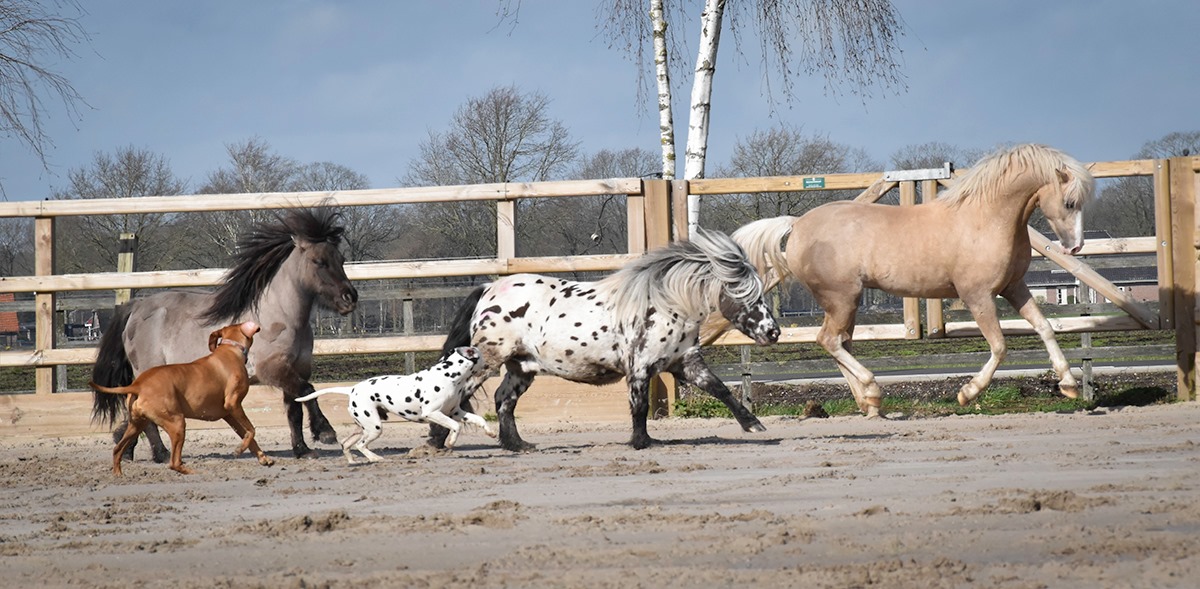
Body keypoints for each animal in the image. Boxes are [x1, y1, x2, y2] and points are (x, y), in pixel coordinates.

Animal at [90, 321, 274, 477]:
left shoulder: (229, 414)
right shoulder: (234, 404)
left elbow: (248, 435)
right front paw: (240, 450)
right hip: (177, 422)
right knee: (174, 463)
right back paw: (194, 472)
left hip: (136, 424)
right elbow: (252, 430)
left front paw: (263, 458)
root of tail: (138, 384)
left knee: (117, 449)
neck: (230, 349)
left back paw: (118, 474)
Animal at [91, 207, 357, 460]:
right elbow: (309, 391)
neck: (280, 315)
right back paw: (161, 454)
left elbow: (295, 409)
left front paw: (302, 450)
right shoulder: (273, 370)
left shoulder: (297, 369)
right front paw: (325, 432)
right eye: (318, 261)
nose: (350, 298)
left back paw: (131, 448)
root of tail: (136, 307)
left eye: (341, 258)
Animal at [294, 345, 492, 465]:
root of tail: (352, 389)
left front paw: (490, 432)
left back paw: (352, 462)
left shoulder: (455, 411)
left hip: (363, 427)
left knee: (346, 443)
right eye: (481, 355)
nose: (489, 363)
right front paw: (451, 441)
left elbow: (478, 420)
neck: (449, 375)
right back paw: (376, 458)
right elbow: (455, 427)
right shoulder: (433, 413)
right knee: (361, 445)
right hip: (374, 427)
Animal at [439, 226, 777, 451]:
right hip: (487, 361)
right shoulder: (639, 368)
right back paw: (438, 441)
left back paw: (518, 445)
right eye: (745, 293)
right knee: (459, 395)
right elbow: (639, 406)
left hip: (521, 367)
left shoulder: (686, 362)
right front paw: (641, 442)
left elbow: (719, 389)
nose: (772, 332)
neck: (664, 305)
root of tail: (487, 290)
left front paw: (753, 425)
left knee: (503, 400)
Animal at [724, 144, 1094, 417]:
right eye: (1069, 202)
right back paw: (873, 390)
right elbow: (1000, 346)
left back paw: (869, 404)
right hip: (841, 298)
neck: (985, 219)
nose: (1075, 247)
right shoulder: (978, 296)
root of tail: (797, 225)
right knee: (829, 340)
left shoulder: (1013, 288)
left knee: (839, 342)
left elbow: (1045, 327)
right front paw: (966, 393)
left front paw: (1069, 385)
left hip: (848, 303)